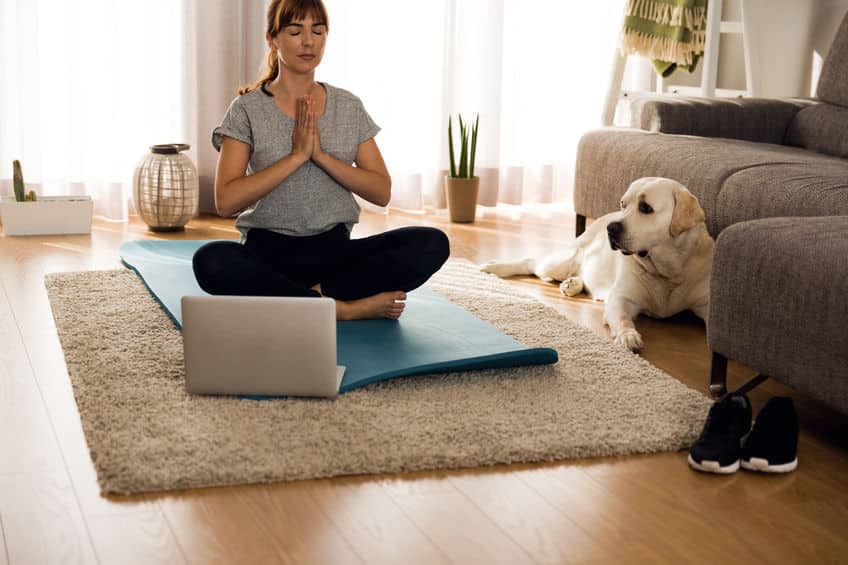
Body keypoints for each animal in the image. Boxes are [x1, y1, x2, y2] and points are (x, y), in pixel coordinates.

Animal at [480, 178, 712, 350]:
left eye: (646, 208)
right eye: (623, 204)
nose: (612, 228)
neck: (667, 272)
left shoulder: (706, 304)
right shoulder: (621, 299)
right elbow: (623, 318)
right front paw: (628, 335)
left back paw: (572, 284)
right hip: (560, 261)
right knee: (531, 262)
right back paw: (494, 267)